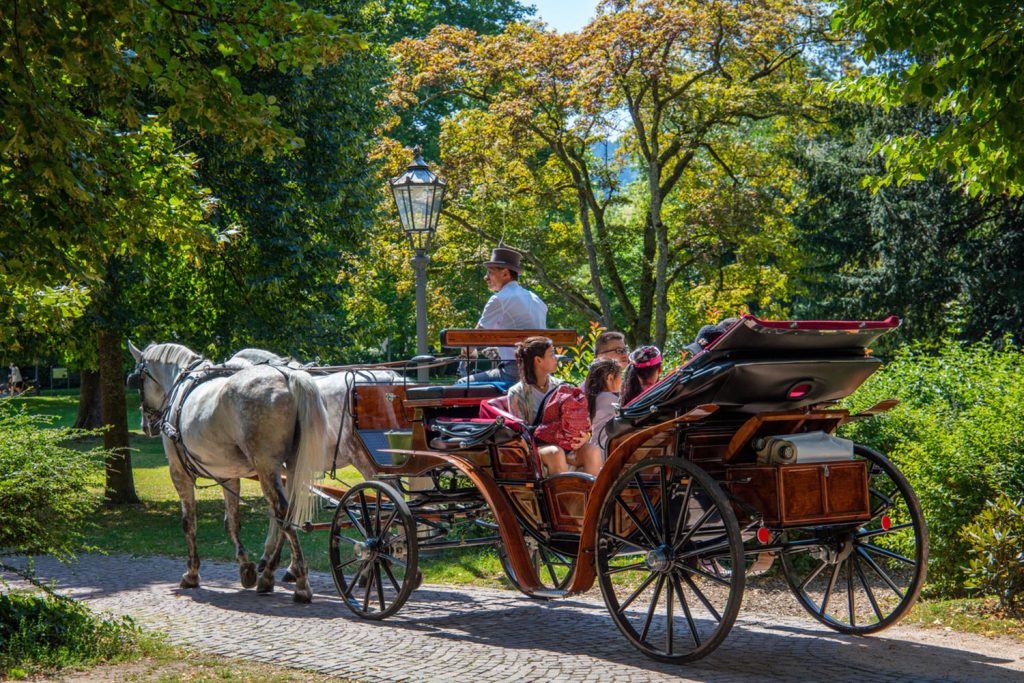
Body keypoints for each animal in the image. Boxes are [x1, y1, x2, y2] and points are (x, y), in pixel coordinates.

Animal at [128, 342, 325, 602]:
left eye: (138, 379)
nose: (145, 424)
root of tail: (286, 375)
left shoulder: (178, 472)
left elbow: (188, 522)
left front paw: (192, 573)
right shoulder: (227, 475)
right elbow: (231, 521)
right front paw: (246, 567)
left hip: (266, 467)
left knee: (282, 513)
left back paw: (300, 582)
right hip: (291, 466)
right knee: (288, 513)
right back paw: (270, 574)